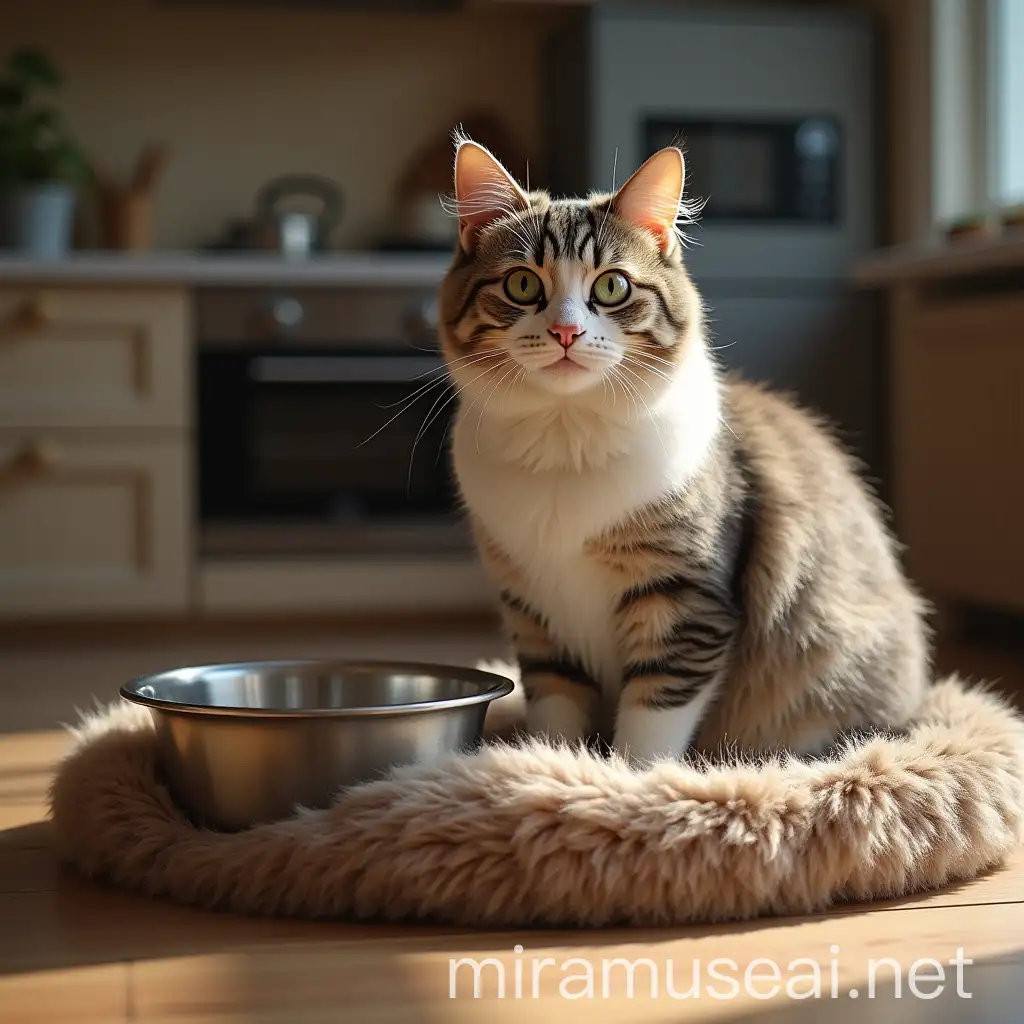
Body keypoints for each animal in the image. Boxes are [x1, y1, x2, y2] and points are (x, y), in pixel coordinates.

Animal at [436, 134, 933, 761]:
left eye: (612, 286)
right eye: (522, 284)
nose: (566, 333)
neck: (565, 435)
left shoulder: (686, 599)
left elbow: (653, 717)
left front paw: (630, 777)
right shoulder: (536, 614)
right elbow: (556, 711)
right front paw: (547, 764)